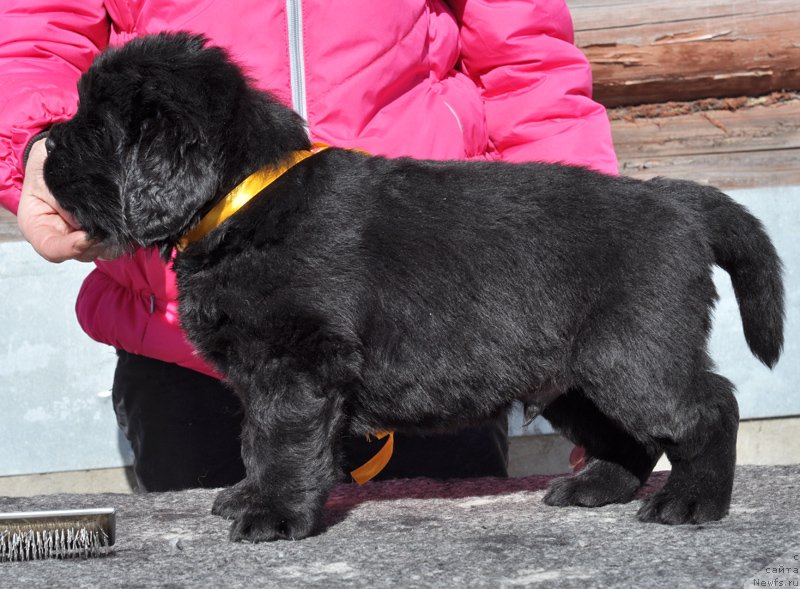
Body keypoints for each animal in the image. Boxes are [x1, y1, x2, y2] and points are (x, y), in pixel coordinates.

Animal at [42, 31, 780, 536]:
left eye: (94, 128)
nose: (43, 146)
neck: (242, 203)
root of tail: (679, 198)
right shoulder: (261, 370)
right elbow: (255, 437)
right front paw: (251, 494)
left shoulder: (296, 362)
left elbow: (282, 437)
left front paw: (273, 513)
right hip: (570, 372)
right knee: (631, 435)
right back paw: (595, 485)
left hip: (631, 352)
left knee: (707, 407)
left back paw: (691, 502)